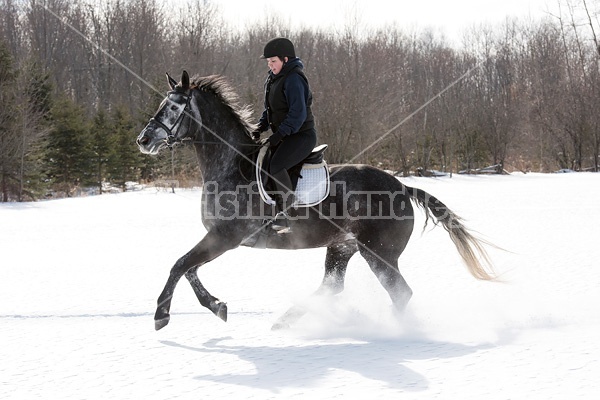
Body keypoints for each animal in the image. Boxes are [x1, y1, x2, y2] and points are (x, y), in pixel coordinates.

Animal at [138, 71, 494, 332]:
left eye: (173, 107)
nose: (144, 140)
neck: (231, 165)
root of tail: (403, 187)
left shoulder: (225, 237)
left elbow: (180, 265)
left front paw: (161, 315)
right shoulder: (218, 238)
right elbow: (189, 269)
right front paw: (217, 306)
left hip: (379, 252)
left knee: (399, 291)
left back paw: (397, 333)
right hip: (342, 247)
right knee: (333, 285)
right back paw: (286, 321)